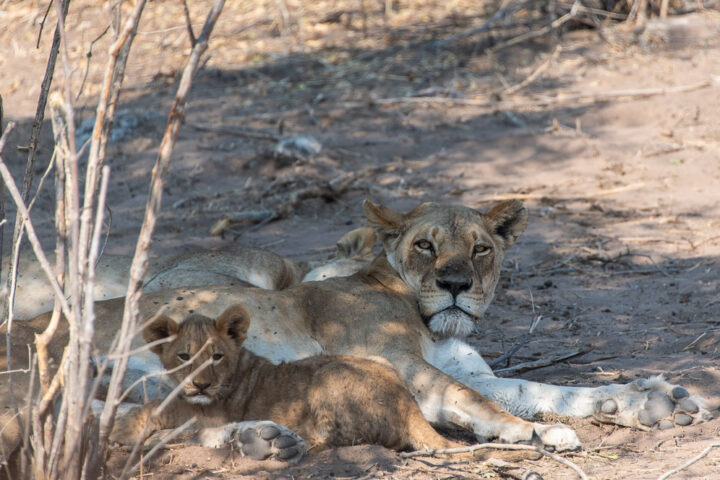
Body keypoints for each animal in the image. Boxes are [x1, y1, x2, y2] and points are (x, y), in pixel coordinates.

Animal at [1, 200, 712, 465]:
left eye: (480, 249)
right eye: (426, 245)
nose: (456, 284)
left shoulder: (456, 367)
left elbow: (537, 390)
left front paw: (651, 400)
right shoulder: (404, 365)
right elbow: (486, 402)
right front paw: (535, 435)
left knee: (141, 429)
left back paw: (265, 439)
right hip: (88, 372)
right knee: (101, 432)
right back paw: (262, 440)